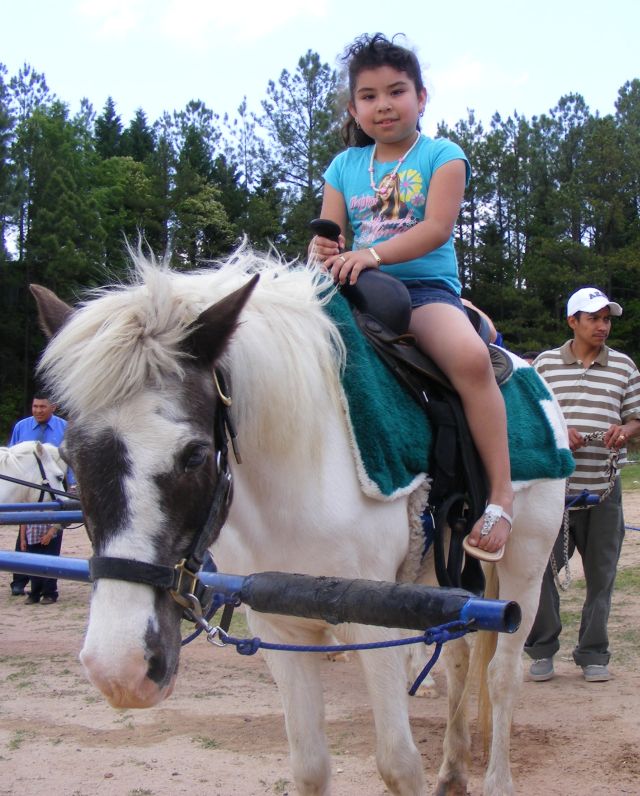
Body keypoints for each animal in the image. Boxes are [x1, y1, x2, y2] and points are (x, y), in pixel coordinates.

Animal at [32, 249, 568, 796]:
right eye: (70, 458)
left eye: (195, 454)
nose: (119, 670)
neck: (302, 462)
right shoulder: (279, 624)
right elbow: (310, 766)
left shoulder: (376, 625)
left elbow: (398, 763)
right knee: (459, 661)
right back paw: (454, 771)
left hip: (524, 568)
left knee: (502, 676)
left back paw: (496, 779)